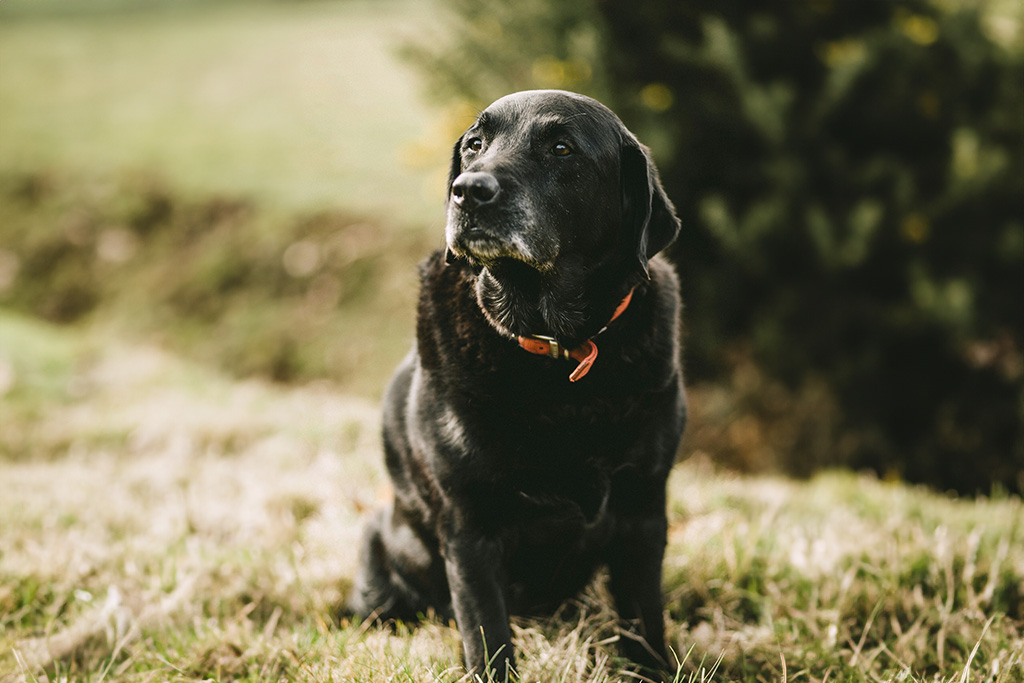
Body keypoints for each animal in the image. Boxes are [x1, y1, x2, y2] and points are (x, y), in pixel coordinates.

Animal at [352, 89, 688, 679]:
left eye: (561, 148)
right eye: (474, 144)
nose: (469, 190)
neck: (558, 348)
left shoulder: (643, 510)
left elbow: (646, 622)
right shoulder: (470, 527)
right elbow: (487, 636)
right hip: (376, 544)